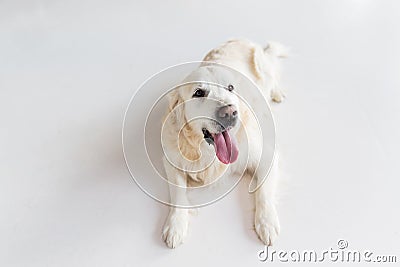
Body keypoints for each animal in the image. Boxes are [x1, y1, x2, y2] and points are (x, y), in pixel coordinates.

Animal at [161, 38, 286, 248]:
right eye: (198, 92)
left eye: (230, 88)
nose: (229, 112)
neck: (209, 154)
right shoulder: (171, 160)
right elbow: (178, 193)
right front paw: (176, 225)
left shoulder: (266, 155)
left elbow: (263, 193)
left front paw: (266, 223)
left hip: (263, 66)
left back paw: (277, 92)